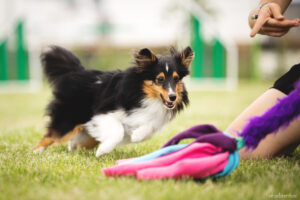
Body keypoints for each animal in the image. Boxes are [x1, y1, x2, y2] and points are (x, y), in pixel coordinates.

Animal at [34, 45, 193, 156]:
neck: (143, 94)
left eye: (176, 79)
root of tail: (78, 72)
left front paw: (136, 135)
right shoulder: (104, 114)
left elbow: (148, 127)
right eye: (160, 79)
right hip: (68, 121)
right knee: (49, 136)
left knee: (74, 142)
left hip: (87, 136)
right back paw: (36, 152)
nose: (173, 97)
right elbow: (118, 131)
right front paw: (103, 150)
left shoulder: (152, 119)